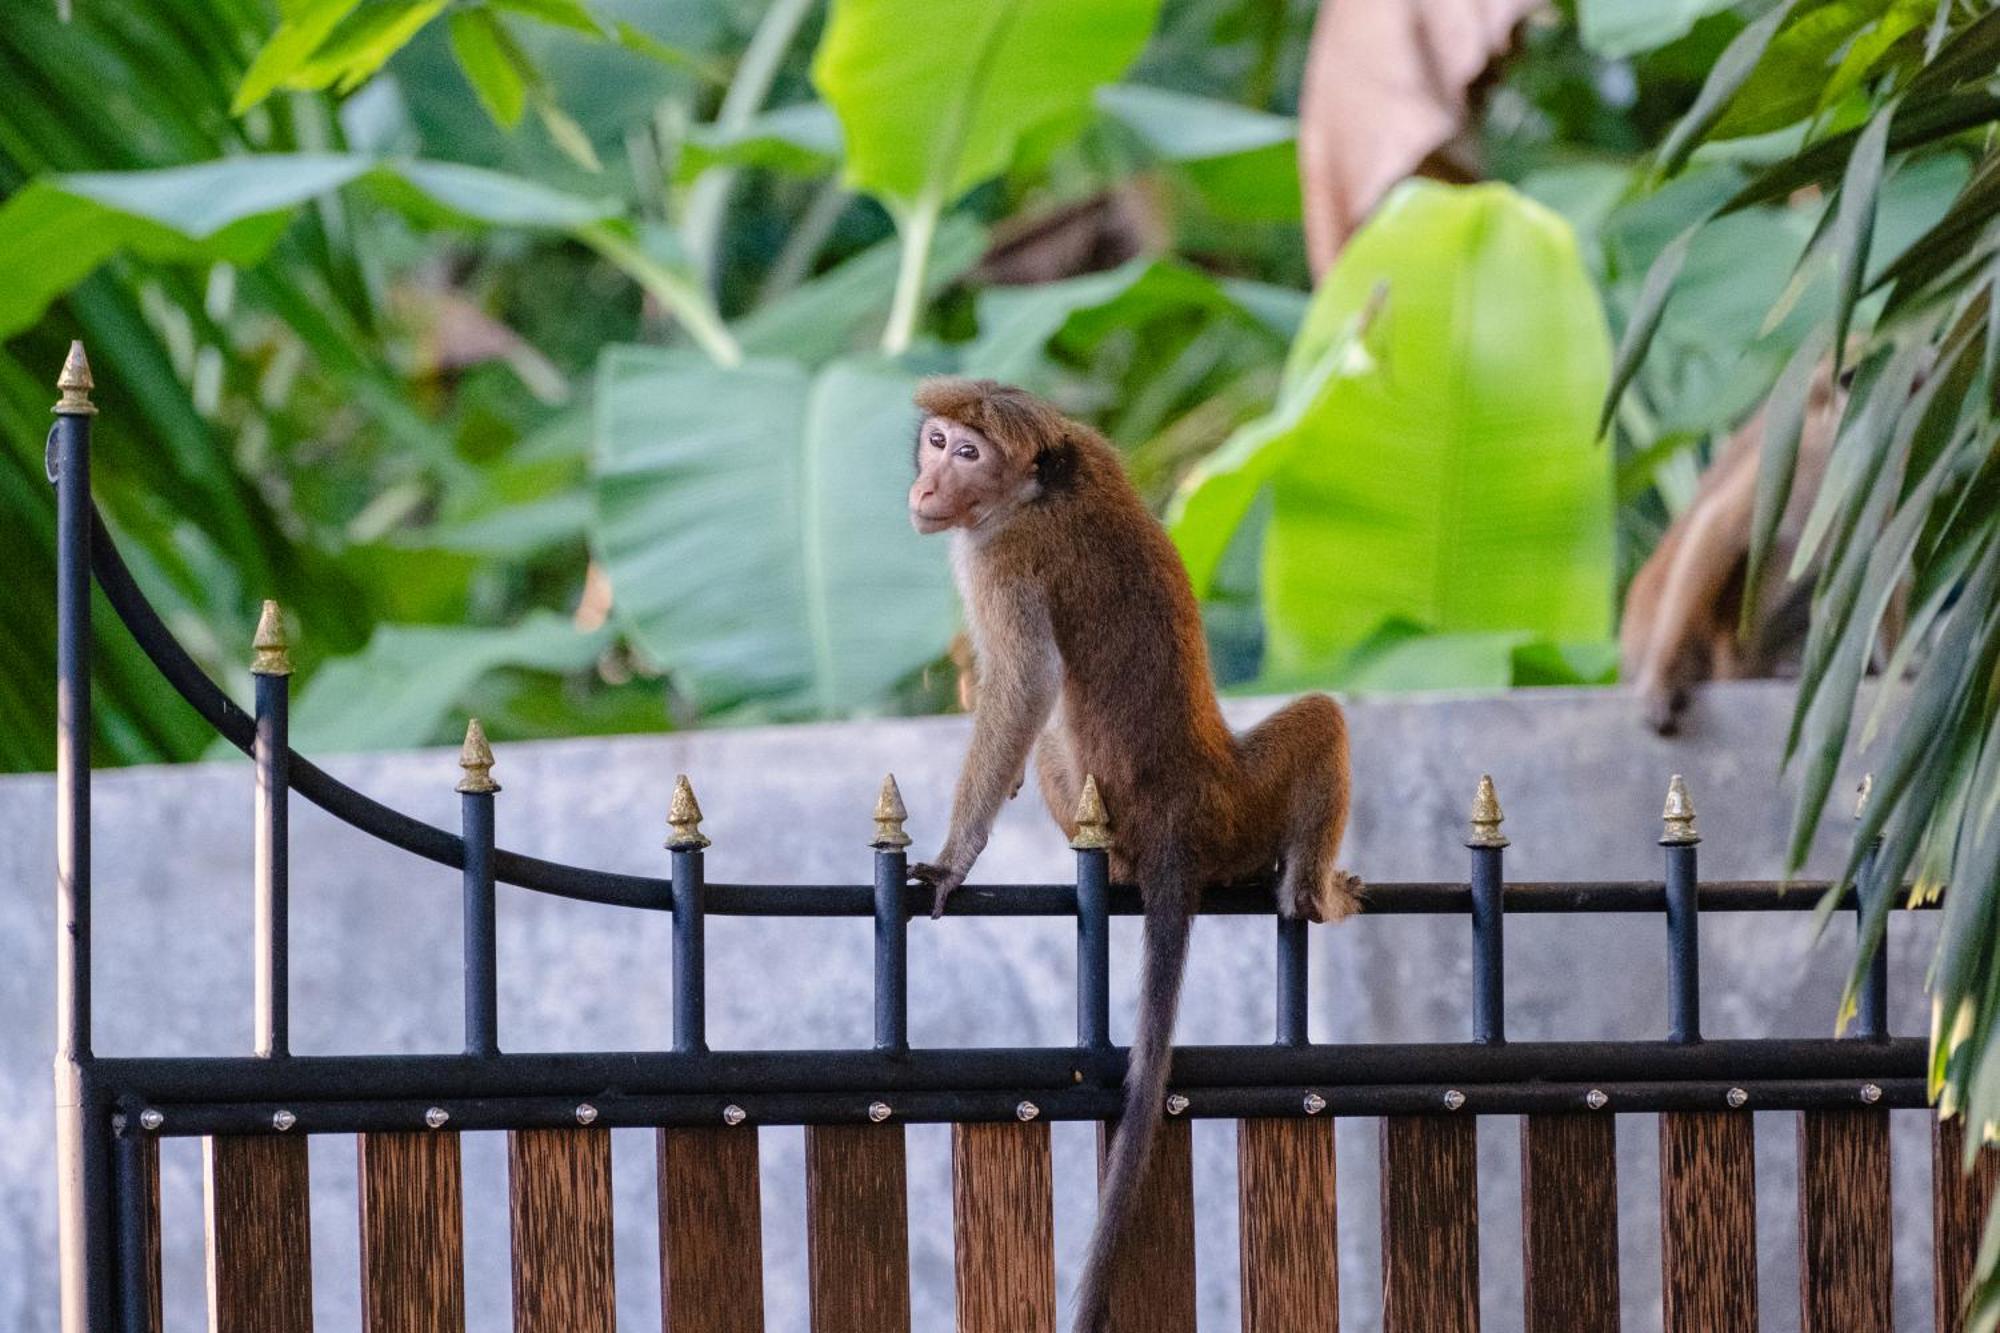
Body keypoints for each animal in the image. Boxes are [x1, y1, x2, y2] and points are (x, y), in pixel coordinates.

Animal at [908, 374, 1360, 1328]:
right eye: (934, 441)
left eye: (966, 452)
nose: (927, 485)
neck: (1039, 488)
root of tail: (1184, 818)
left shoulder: (998, 560)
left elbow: (1024, 685)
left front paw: (957, 855)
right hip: (1224, 811)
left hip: (1214, 803)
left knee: (1319, 718)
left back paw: (1309, 891)